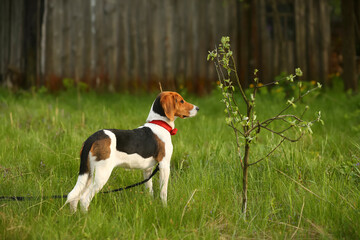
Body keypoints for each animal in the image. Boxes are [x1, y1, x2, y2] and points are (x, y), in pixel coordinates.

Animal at [65, 91, 200, 211]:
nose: (198, 108)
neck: (159, 123)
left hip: (88, 174)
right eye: (181, 101)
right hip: (101, 174)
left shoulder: (148, 169)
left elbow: (149, 189)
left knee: (74, 197)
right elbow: (163, 192)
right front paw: (165, 208)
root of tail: (92, 138)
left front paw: (150, 204)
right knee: (84, 199)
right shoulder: (164, 165)